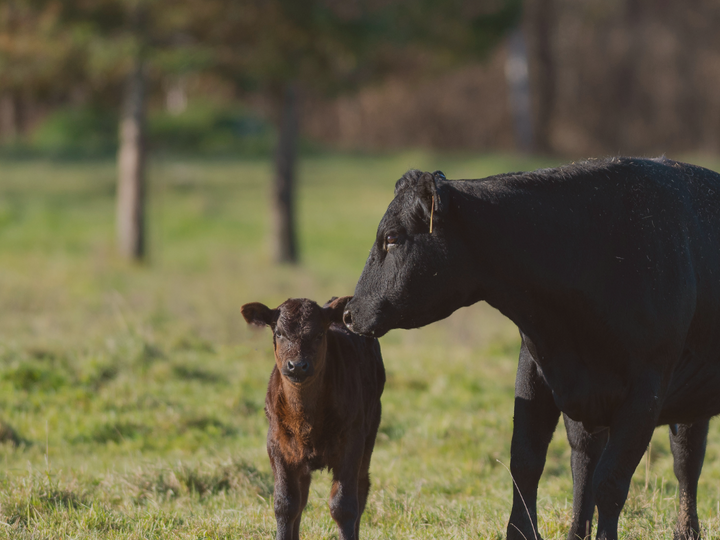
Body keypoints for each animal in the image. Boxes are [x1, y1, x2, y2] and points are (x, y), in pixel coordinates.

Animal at [241, 296, 385, 540]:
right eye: (278, 333)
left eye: (319, 334)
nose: (297, 366)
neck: (306, 418)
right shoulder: (277, 445)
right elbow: (285, 504)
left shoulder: (352, 443)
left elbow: (344, 505)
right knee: (301, 497)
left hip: (371, 429)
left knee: (361, 489)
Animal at [342, 158, 720, 540]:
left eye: (391, 238)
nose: (350, 312)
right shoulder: (537, 368)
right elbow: (529, 463)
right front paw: (523, 531)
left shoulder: (647, 389)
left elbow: (610, 481)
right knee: (657, 457)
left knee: (683, 461)